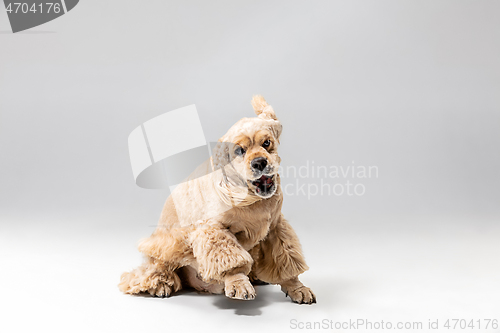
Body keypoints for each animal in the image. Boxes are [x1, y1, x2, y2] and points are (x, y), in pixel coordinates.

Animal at [120, 95, 316, 304]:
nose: (259, 162)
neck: (254, 201)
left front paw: (297, 288)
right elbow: (231, 259)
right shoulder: (213, 229)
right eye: (239, 151)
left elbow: (287, 260)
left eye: (267, 143)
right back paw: (161, 284)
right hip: (164, 244)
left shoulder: (276, 227)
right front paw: (239, 283)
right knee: (150, 270)